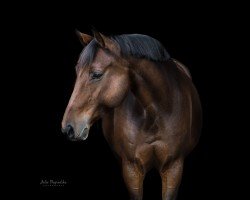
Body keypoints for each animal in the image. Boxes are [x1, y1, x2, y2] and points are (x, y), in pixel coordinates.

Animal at [61, 30, 202, 200]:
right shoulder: (131, 170)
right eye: (77, 72)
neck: (156, 115)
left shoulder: (173, 168)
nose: (68, 127)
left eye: (96, 74)